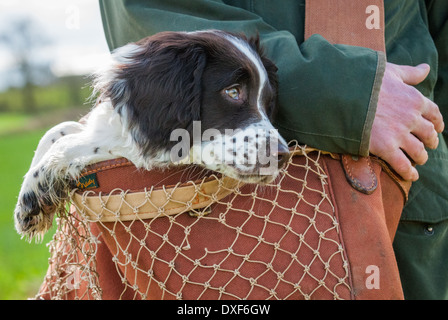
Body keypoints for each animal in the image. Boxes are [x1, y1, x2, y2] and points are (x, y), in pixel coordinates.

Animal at [14, 30, 290, 240]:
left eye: (268, 103)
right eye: (233, 92)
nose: (282, 156)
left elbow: (68, 142)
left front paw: (31, 202)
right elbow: (58, 130)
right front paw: (30, 201)